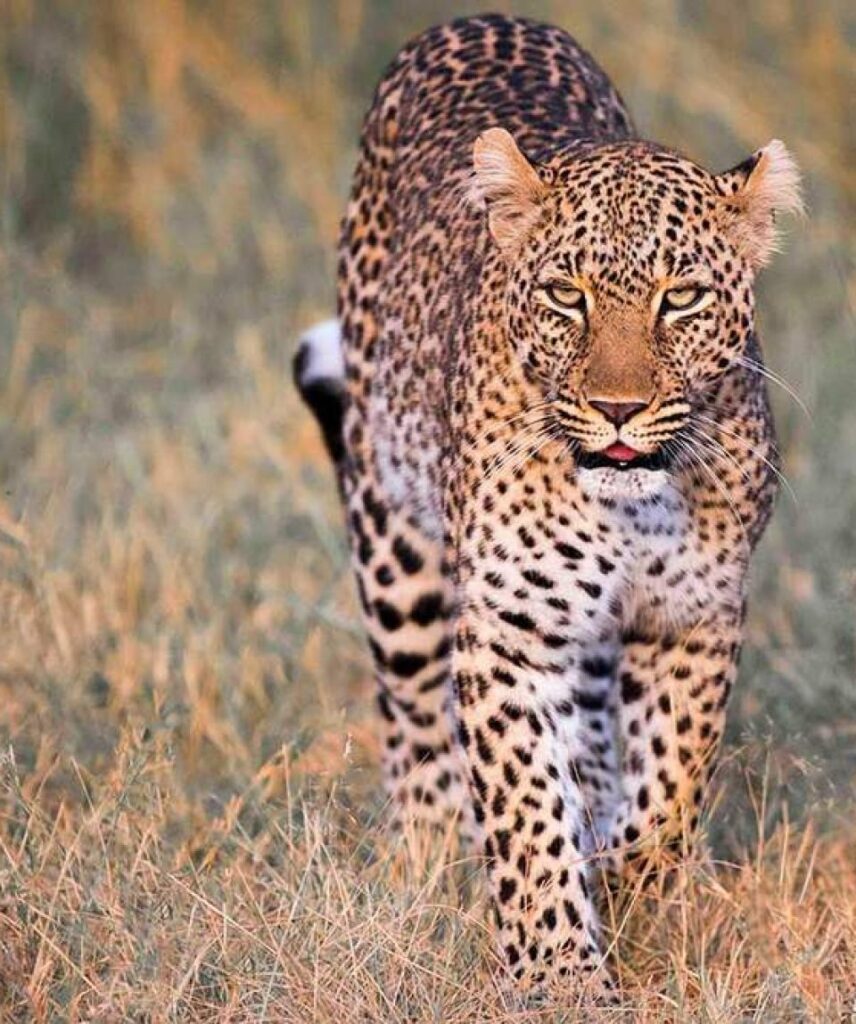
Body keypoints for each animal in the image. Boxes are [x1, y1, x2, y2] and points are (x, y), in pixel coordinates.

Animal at [294, 13, 802, 1002]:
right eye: (567, 297)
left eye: (680, 299)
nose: (618, 409)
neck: (632, 509)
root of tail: (482, 17)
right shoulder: (510, 628)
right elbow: (525, 812)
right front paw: (559, 976)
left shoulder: (695, 615)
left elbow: (670, 788)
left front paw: (631, 892)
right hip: (393, 538)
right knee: (416, 726)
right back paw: (424, 864)